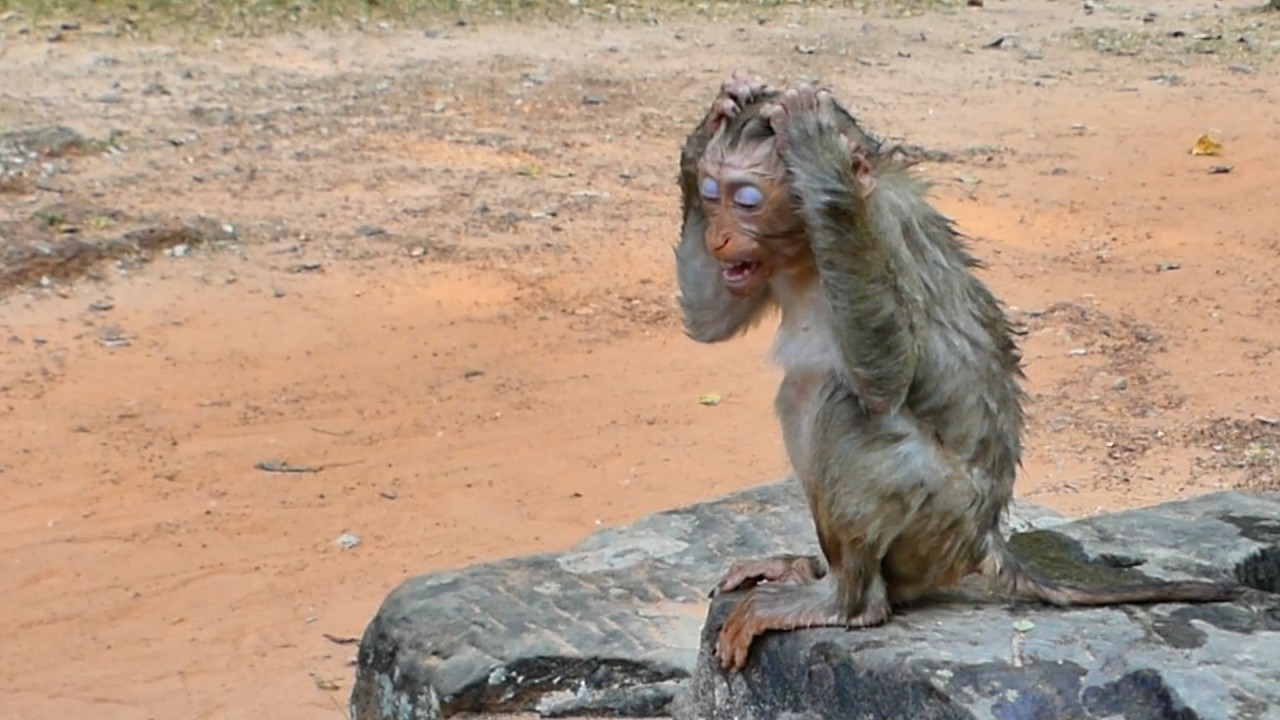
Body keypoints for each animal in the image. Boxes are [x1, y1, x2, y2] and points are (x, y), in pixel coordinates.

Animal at [674, 72, 1246, 672]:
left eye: (747, 200)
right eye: (711, 196)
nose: (717, 237)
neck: (808, 254)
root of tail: (986, 539)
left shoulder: (885, 231)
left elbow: (883, 380)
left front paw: (818, 156)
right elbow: (710, 320)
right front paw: (706, 129)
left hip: (937, 515)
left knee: (836, 399)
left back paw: (849, 600)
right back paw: (815, 568)